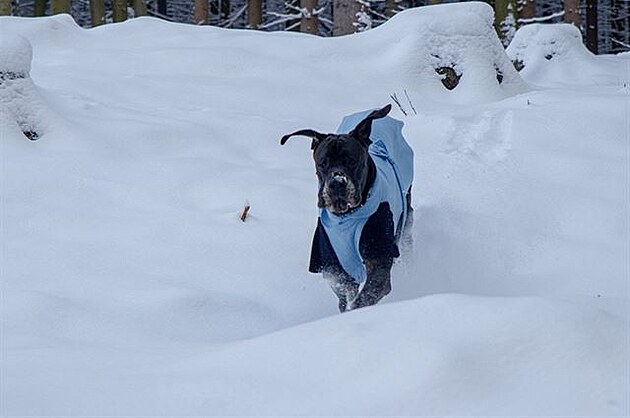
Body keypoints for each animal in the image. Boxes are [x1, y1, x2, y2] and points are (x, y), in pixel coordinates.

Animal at [282, 104, 414, 312]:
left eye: (352, 160)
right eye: (322, 163)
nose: (337, 183)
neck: (347, 217)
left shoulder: (379, 257)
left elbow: (364, 298)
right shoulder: (333, 264)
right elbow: (345, 293)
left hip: (405, 215)